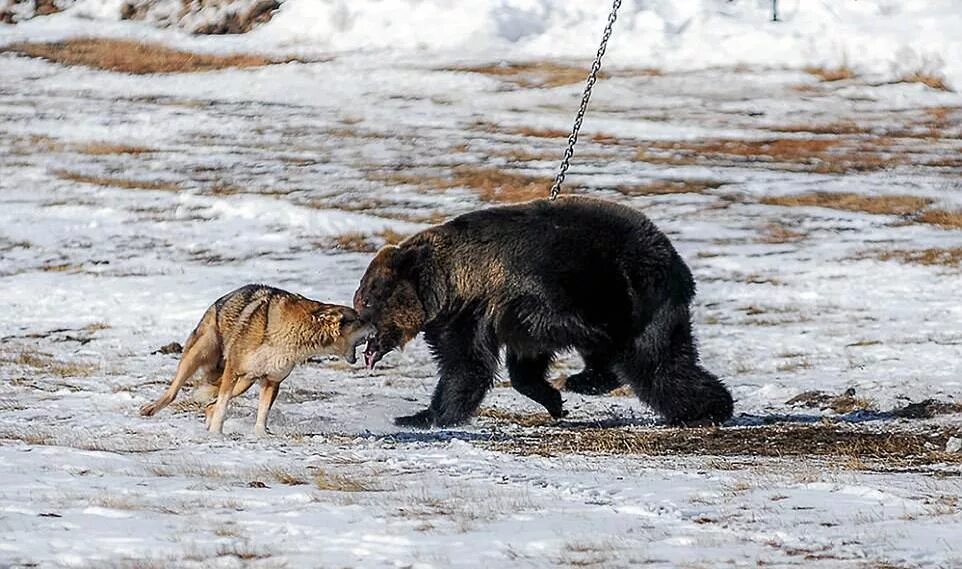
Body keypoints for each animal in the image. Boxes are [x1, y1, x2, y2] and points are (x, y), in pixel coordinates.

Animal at [139, 284, 372, 434]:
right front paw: (216, 434)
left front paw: (261, 436)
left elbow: (263, 412)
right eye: (360, 321)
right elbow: (223, 407)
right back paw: (150, 409)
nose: (376, 326)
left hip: (245, 382)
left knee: (210, 405)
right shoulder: (233, 369)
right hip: (200, 355)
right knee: (175, 391)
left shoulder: (272, 380)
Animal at [352, 195, 736, 426]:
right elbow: (519, 365)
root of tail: (674, 263)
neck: (451, 282)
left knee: (652, 361)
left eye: (368, 300)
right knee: (660, 359)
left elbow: (467, 367)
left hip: (629, 296)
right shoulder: (506, 317)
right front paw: (553, 400)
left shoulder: (490, 306)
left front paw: (426, 415)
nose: (356, 320)